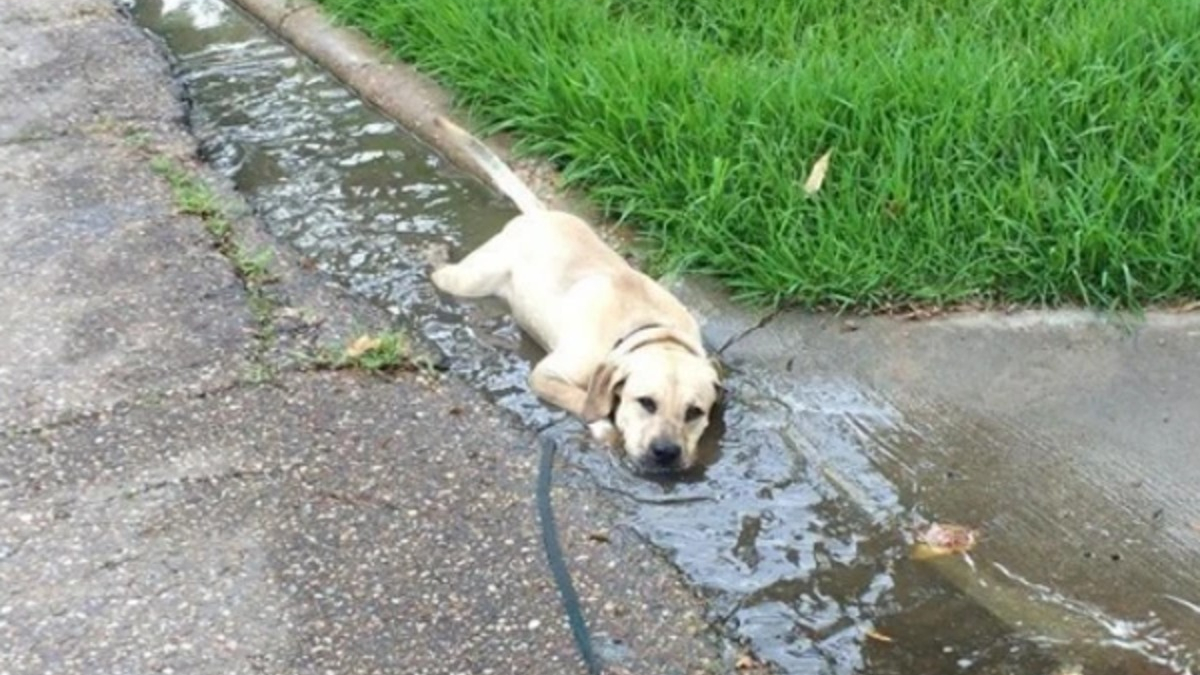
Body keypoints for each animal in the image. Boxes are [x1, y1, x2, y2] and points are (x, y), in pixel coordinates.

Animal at [429, 115, 715, 470]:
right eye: (646, 403)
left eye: (694, 412)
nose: (666, 452)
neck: (648, 329)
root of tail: (540, 214)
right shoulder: (547, 374)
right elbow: (584, 400)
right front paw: (605, 423)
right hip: (470, 279)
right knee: (441, 274)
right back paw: (435, 254)